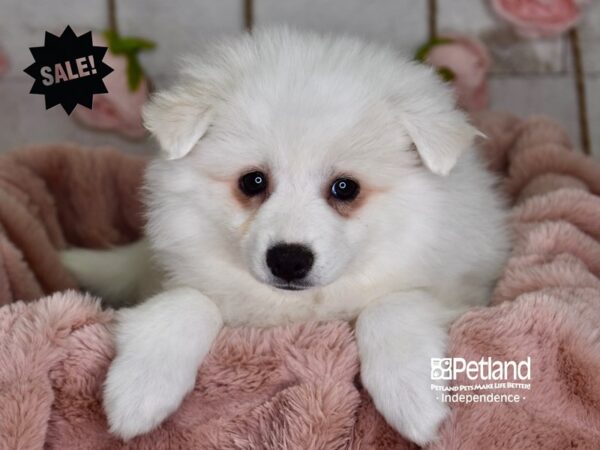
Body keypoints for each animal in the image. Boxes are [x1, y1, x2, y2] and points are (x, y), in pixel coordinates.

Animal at [61, 29, 508, 446]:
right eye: (253, 181)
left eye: (345, 188)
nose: (289, 260)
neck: (299, 308)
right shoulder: (181, 278)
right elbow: (186, 300)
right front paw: (139, 391)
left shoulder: (460, 290)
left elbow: (391, 304)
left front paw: (411, 396)